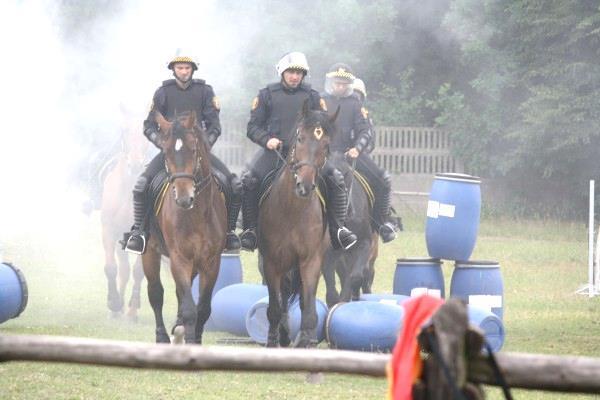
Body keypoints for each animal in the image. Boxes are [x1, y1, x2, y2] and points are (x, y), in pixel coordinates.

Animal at [142, 110, 226, 344]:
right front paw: (187, 339)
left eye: (194, 150)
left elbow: (203, 309)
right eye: (166, 152)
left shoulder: (211, 263)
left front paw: (194, 338)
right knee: (156, 293)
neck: (196, 215)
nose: (183, 198)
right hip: (150, 252)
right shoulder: (179, 258)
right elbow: (190, 309)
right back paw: (162, 336)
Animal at [258, 99, 338, 346]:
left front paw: (305, 341)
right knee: (282, 299)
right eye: (300, 138)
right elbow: (274, 308)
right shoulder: (272, 262)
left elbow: (309, 309)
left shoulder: (310, 261)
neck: (292, 211)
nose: (305, 185)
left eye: (326, 145)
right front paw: (273, 341)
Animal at [322, 152, 378, 306]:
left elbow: (356, 277)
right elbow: (331, 285)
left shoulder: (365, 244)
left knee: (366, 274)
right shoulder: (329, 253)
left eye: (346, 173)